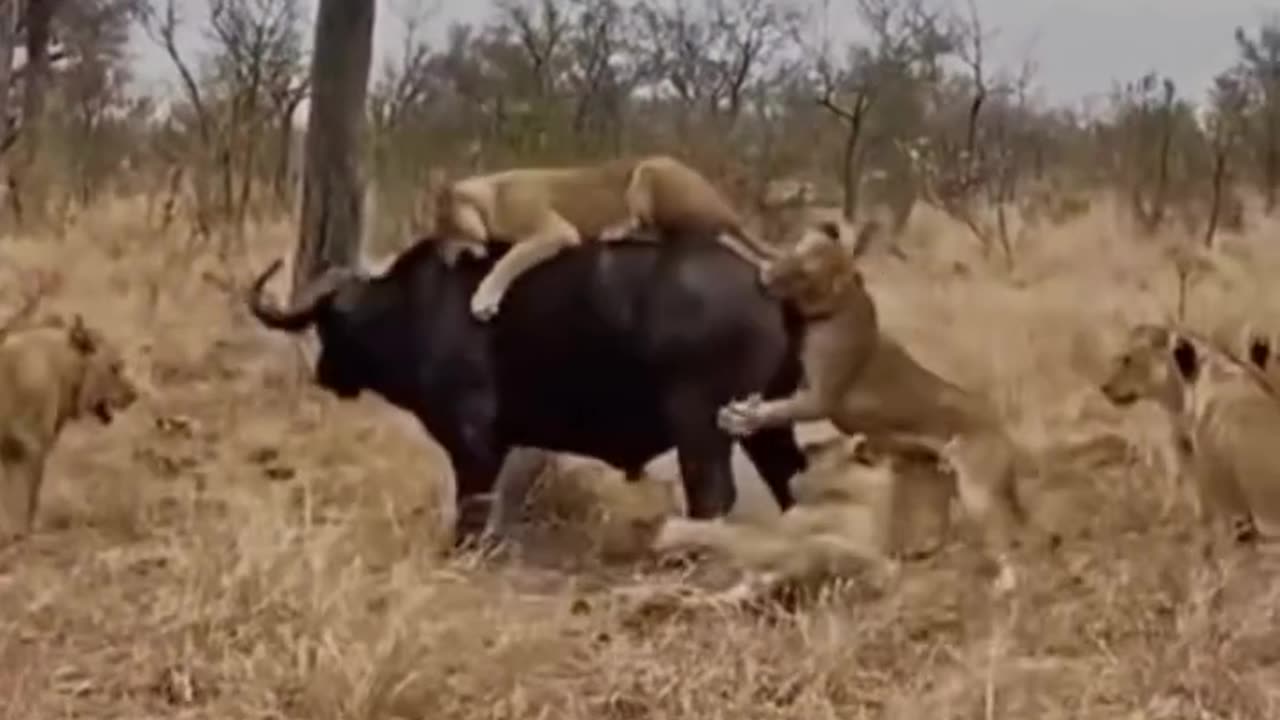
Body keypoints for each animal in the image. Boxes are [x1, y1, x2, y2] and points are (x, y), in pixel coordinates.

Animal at [0, 313, 140, 538]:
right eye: (114, 367)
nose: (134, 395)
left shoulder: (11, 451)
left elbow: (12, 498)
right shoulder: (32, 447)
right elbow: (28, 498)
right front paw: (24, 533)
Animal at [244, 229, 803, 538]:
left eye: (328, 323)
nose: (325, 373)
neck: (416, 307)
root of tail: (767, 284)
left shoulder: (474, 445)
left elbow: (471, 510)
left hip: (702, 429)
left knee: (713, 496)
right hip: (768, 423)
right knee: (791, 480)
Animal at [430, 156, 778, 319]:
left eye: (446, 233)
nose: (444, 262)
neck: (490, 199)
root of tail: (728, 209)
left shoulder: (553, 230)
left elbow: (508, 260)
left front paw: (483, 300)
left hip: (648, 170)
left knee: (663, 229)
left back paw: (617, 229)